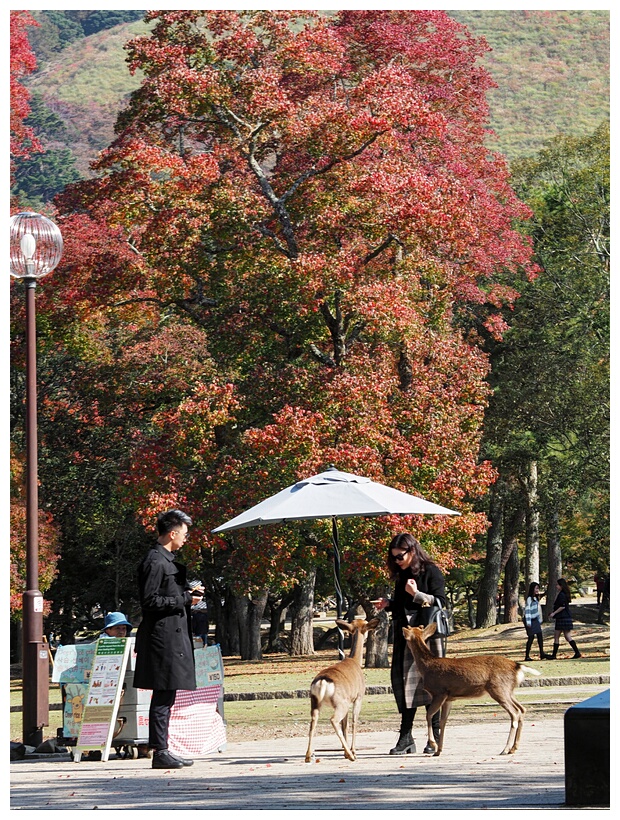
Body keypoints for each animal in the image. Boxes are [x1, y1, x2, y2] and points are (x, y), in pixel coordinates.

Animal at [304, 620, 378, 764]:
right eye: (366, 624)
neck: (355, 661)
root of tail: (322, 682)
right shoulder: (358, 697)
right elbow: (354, 722)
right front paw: (352, 751)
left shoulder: (349, 701)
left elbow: (345, 725)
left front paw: (345, 752)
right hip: (340, 702)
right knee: (334, 720)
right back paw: (351, 755)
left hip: (315, 701)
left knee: (313, 721)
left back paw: (308, 756)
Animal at [404, 620, 540, 756]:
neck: (426, 667)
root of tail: (517, 666)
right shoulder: (449, 698)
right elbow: (443, 721)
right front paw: (438, 750)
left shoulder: (439, 692)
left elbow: (429, 715)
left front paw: (433, 744)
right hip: (509, 691)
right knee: (522, 709)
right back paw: (513, 748)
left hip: (498, 688)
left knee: (515, 712)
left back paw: (505, 749)